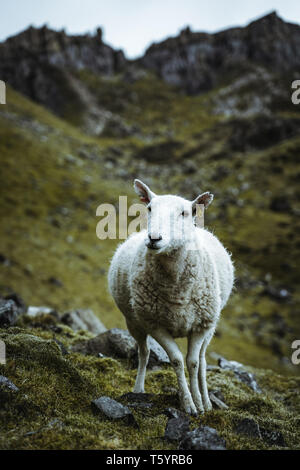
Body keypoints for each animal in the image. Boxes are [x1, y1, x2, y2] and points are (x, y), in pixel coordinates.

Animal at [108, 180, 234, 414]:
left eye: (185, 213)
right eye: (149, 208)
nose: (154, 238)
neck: (177, 291)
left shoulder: (201, 326)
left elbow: (193, 363)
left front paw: (199, 403)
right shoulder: (155, 325)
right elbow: (176, 361)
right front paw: (188, 404)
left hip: (211, 325)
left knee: (202, 360)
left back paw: (207, 400)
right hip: (134, 322)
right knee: (144, 352)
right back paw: (138, 389)